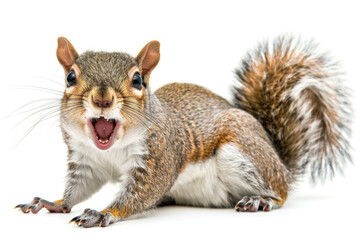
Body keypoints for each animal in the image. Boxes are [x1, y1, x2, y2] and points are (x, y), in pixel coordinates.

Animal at [15, 35, 350, 227]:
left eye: (137, 80)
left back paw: (262, 200)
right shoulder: (86, 160)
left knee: (281, 189)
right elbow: (79, 187)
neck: (112, 148)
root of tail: (280, 160)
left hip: (241, 151)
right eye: (70, 77)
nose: (102, 99)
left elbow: (140, 193)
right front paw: (54, 203)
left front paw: (104, 213)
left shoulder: (160, 157)